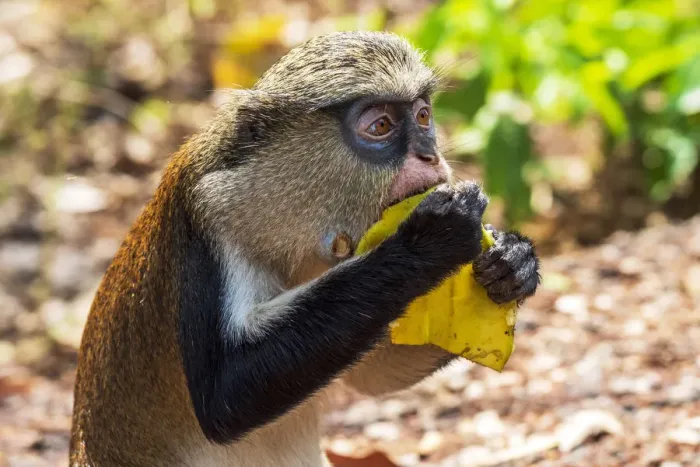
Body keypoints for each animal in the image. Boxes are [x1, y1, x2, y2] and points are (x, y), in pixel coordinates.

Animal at [69, 31, 540, 467]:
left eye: (423, 116)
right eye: (381, 126)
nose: (429, 154)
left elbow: (374, 376)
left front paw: (514, 261)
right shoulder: (207, 223)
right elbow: (225, 394)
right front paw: (426, 242)